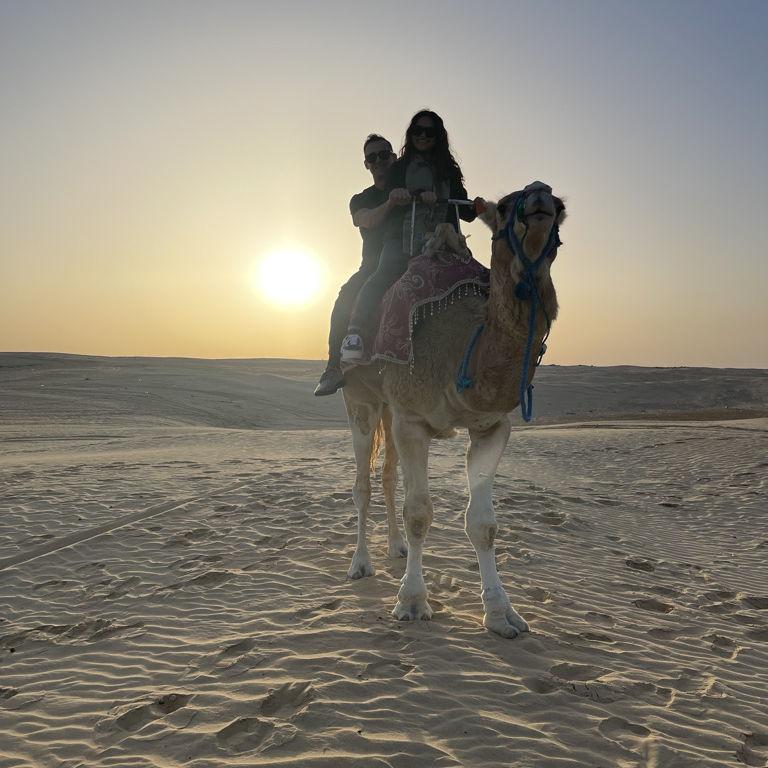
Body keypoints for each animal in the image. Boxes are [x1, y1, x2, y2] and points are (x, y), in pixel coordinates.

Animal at [342, 181, 566, 638]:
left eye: (562, 208)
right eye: (505, 205)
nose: (539, 194)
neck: (464, 344)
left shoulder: (491, 426)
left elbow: (483, 523)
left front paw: (501, 613)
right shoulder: (412, 420)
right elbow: (419, 513)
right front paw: (412, 602)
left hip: (389, 408)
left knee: (387, 476)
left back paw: (395, 547)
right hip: (362, 401)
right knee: (363, 484)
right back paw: (360, 564)